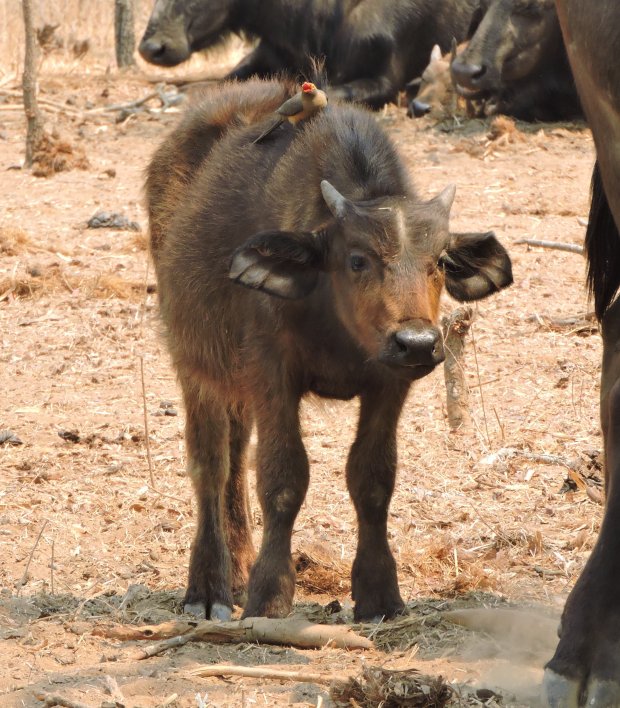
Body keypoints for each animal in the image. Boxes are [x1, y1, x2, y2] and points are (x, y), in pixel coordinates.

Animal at [146, 78, 513, 623]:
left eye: (441, 262)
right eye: (357, 259)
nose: (418, 342)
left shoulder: (389, 383)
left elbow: (373, 478)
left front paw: (379, 593)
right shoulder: (272, 375)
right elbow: (283, 478)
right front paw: (269, 594)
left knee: (234, 455)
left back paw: (237, 568)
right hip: (195, 363)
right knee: (210, 463)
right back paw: (209, 588)